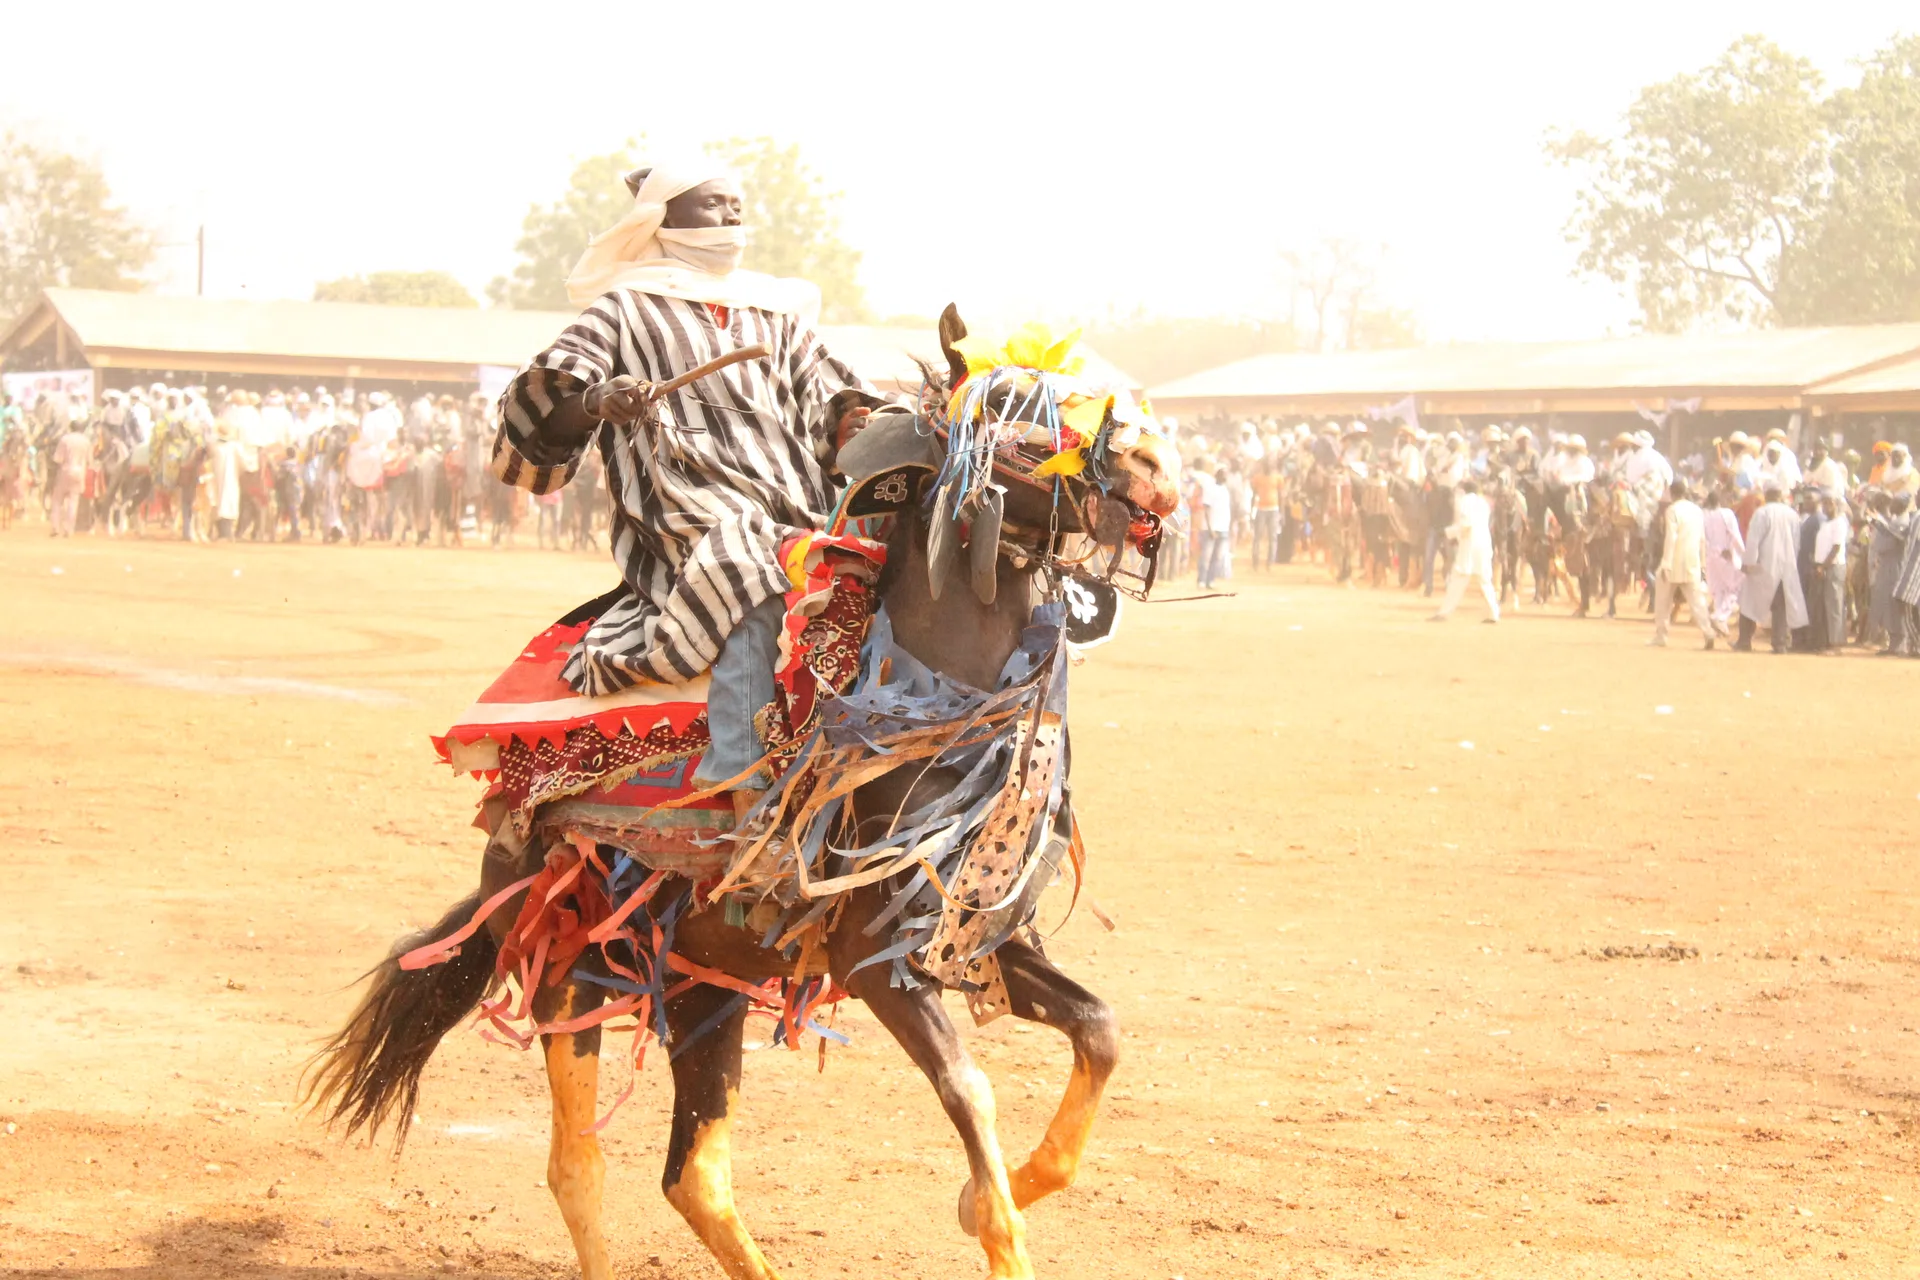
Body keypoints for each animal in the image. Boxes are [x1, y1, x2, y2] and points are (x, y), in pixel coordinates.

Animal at [311, 307, 1182, 1280]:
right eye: (1012, 418)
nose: (1154, 469)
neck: (927, 710)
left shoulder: (977, 941)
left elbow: (1100, 1032)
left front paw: (995, 1192)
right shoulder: (876, 960)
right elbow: (971, 1091)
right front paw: (988, 1211)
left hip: (705, 989)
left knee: (694, 1176)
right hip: (570, 967)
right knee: (579, 1167)